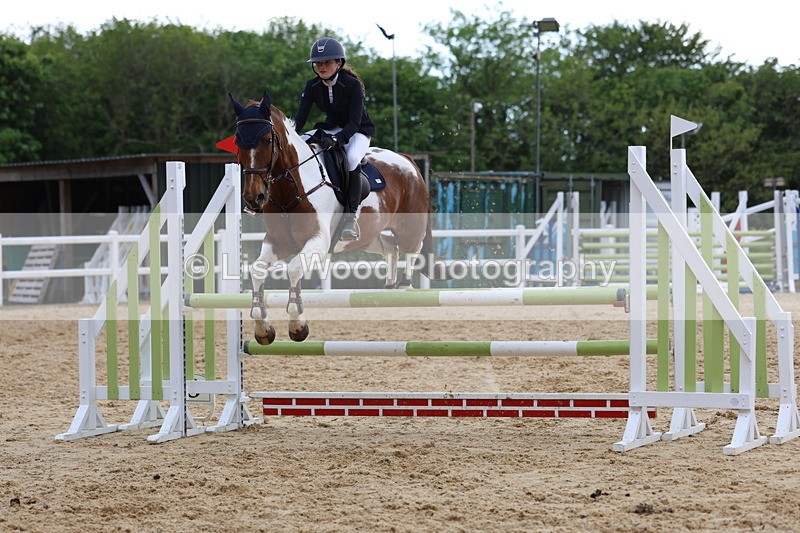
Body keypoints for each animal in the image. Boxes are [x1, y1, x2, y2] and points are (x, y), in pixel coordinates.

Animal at [229, 91, 435, 345]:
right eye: (238, 141)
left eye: (267, 140)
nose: (253, 197)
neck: (292, 187)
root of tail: (407, 161)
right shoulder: (277, 242)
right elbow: (257, 271)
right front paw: (263, 330)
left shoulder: (317, 241)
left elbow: (294, 269)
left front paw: (298, 326)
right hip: (366, 238)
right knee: (390, 247)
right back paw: (390, 285)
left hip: (410, 228)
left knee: (412, 248)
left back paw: (405, 284)